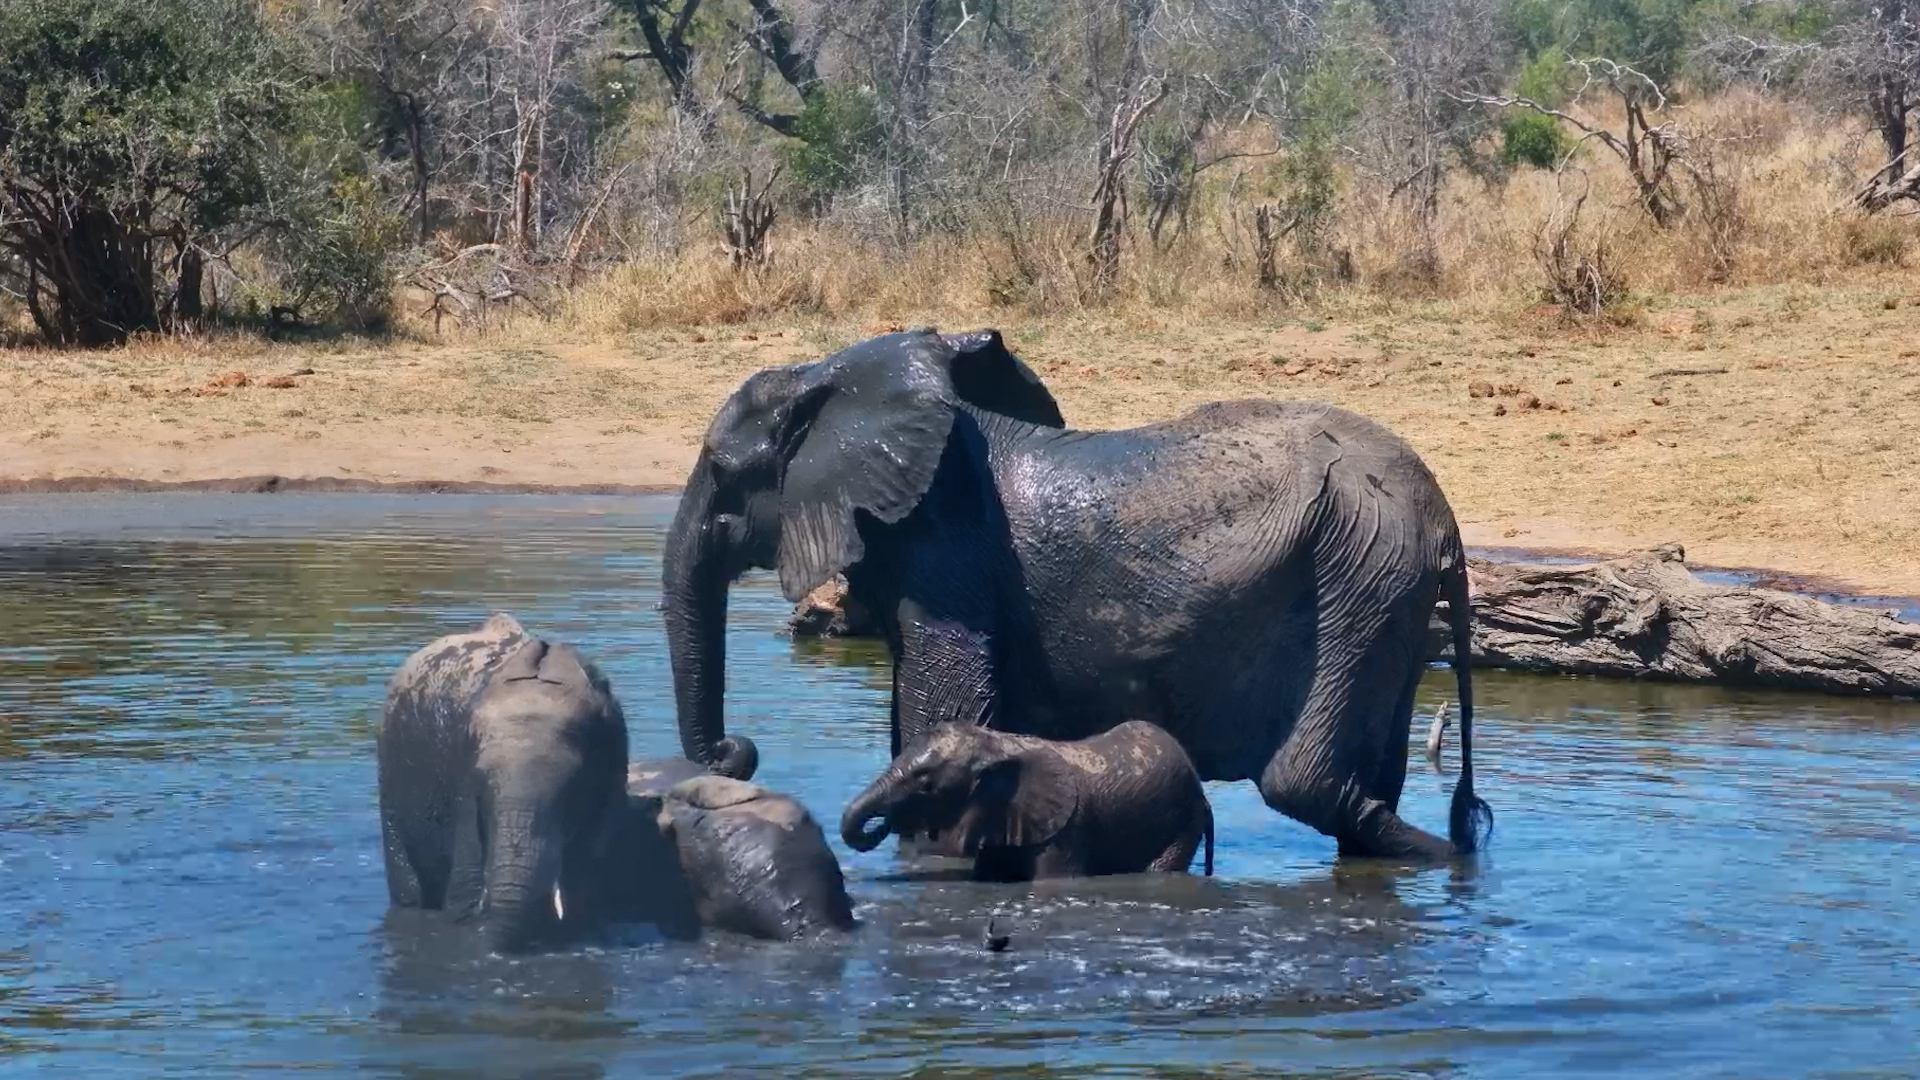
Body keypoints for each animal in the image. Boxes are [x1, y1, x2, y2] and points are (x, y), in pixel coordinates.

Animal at [662, 326, 1491, 863]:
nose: (736, 752)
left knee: (1307, 783)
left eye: (722, 472)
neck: (836, 378)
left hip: (1360, 565)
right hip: (1385, 587)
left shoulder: (946, 550)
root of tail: (1444, 515)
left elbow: (944, 716)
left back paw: (1455, 864)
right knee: (1368, 782)